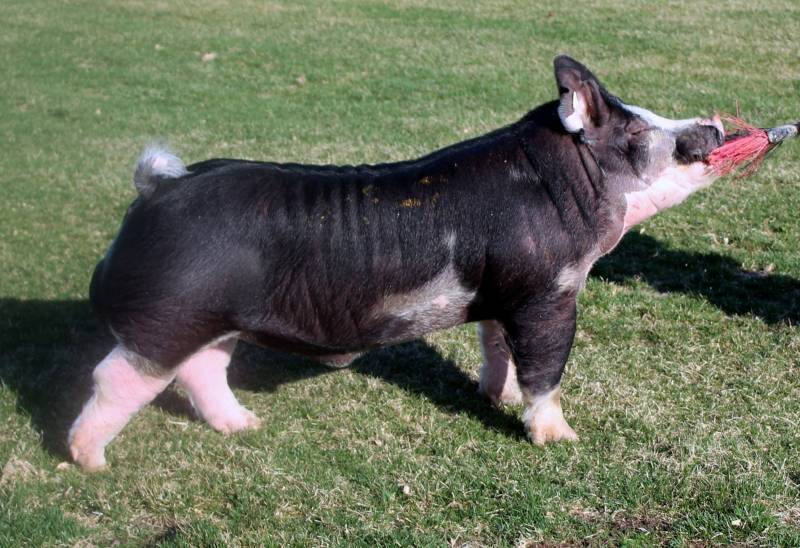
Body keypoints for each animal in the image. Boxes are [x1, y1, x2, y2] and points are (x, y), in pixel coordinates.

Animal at [68, 56, 724, 470]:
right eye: (637, 132)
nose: (714, 124)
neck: (564, 186)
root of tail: (158, 188)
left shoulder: (503, 293)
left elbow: (496, 346)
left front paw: (495, 399)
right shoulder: (548, 291)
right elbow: (545, 369)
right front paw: (561, 439)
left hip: (213, 319)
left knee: (203, 370)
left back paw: (247, 427)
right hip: (169, 316)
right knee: (116, 376)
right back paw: (91, 463)